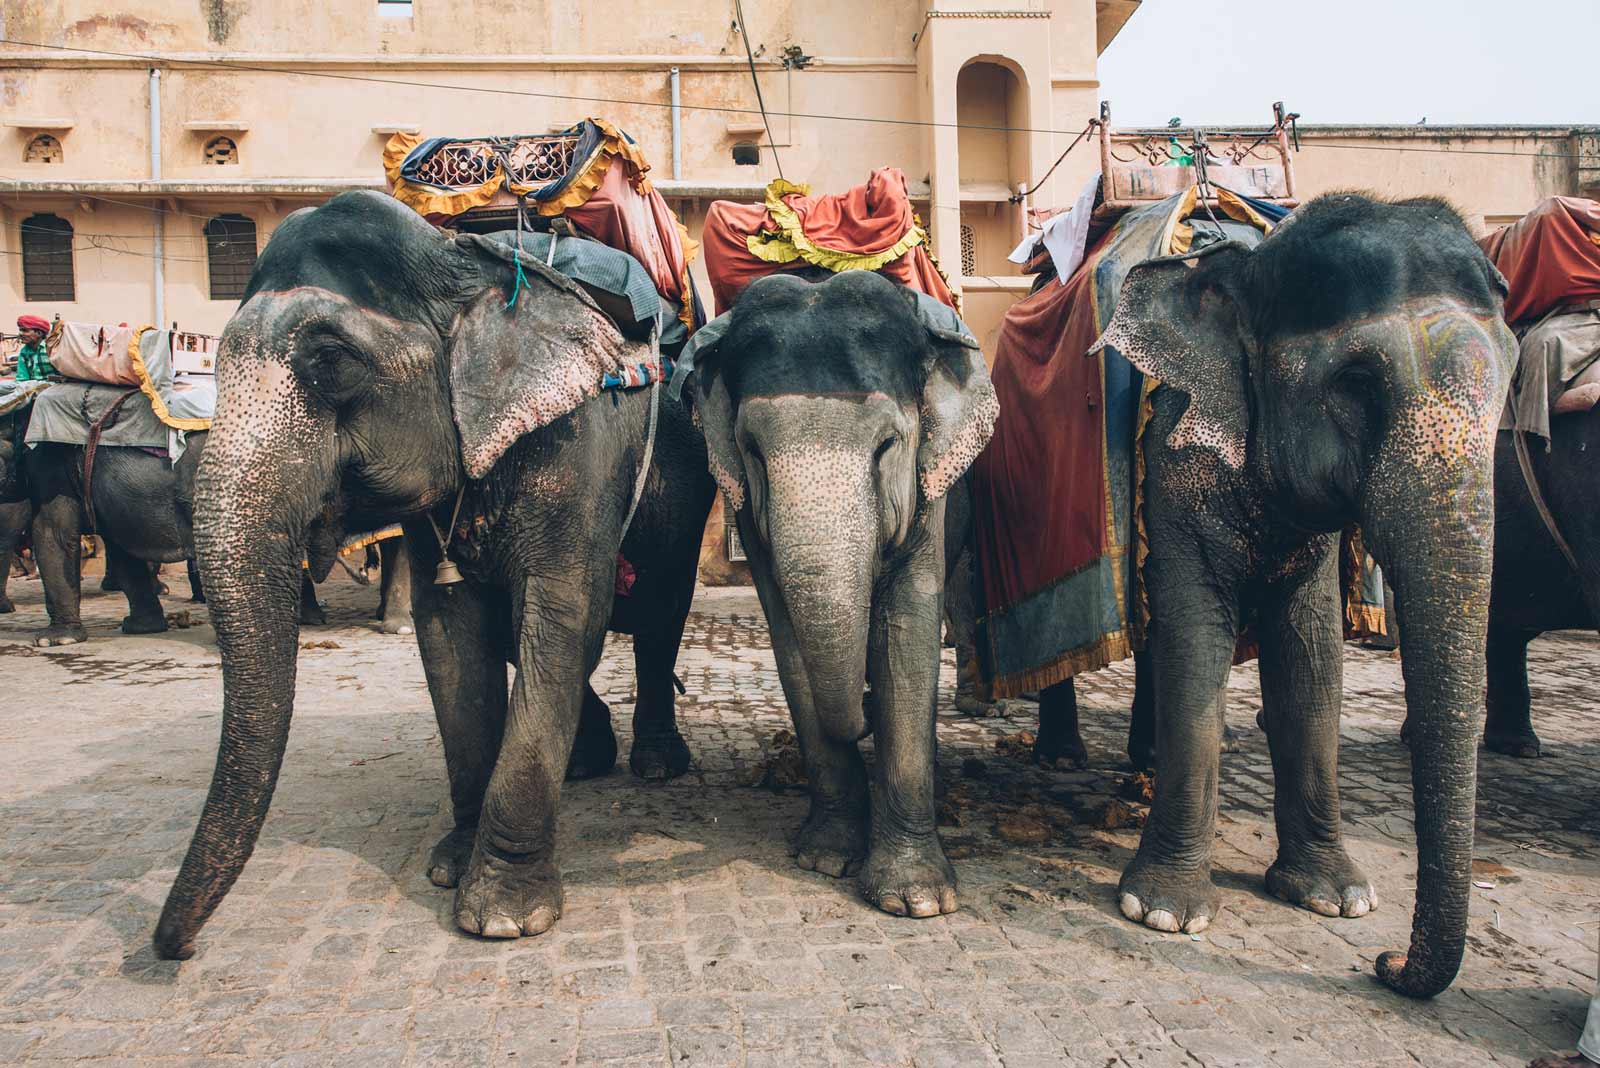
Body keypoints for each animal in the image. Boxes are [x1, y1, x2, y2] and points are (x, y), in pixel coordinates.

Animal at [152, 187, 716, 965]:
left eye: (332, 362)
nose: (173, 949)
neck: (465, 265)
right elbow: (451, 630)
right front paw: (451, 863)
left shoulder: (583, 442)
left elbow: (563, 611)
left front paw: (503, 915)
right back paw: (586, 759)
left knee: (660, 610)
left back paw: (657, 763)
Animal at [678, 273, 998, 920]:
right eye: (752, 449)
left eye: (887, 444)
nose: (863, 716)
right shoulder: (751, 515)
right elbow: (790, 644)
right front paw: (825, 860)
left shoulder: (929, 490)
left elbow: (907, 630)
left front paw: (917, 901)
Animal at [1094, 194, 1516, 1004]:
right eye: (1356, 382)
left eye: (1511, 371)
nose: (1385, 965)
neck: (1255, 265)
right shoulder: (1175, 447)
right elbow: (1196, 638)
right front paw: (1162, 912)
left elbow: (1312, 657)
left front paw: (1336, 899)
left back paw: (1143, 772)